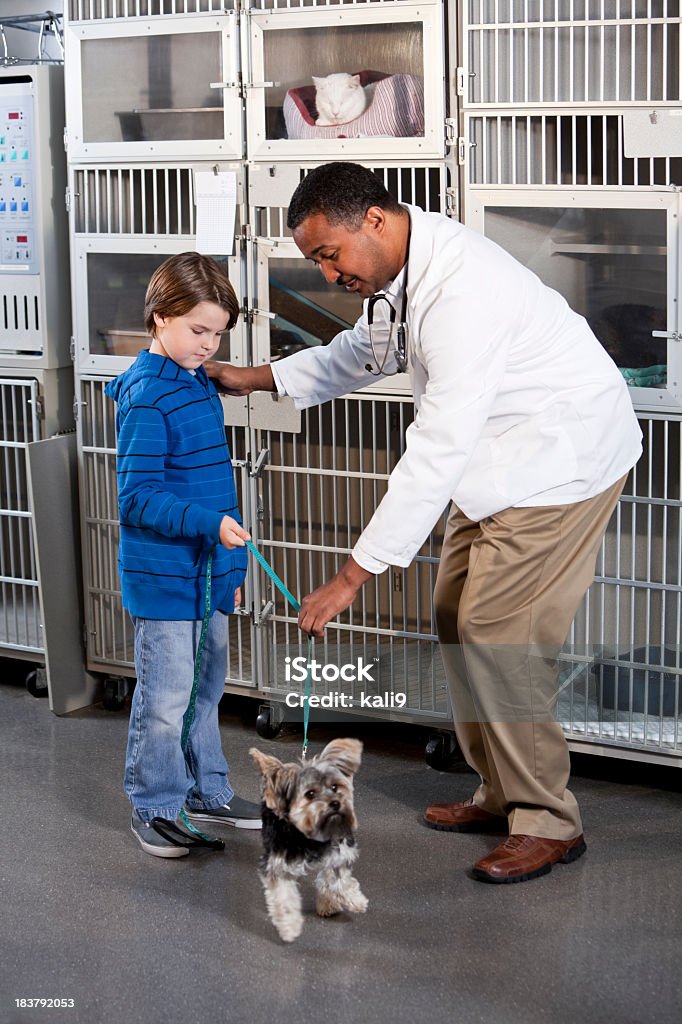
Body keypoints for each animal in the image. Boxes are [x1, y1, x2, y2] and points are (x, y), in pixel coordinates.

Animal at [249, 737, 366, 942]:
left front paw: (355, 900)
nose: (336, 803)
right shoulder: (278, 865)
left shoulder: (338, 852)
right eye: (310, 794)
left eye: (335, 787)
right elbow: (284, 897)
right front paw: (289, 928)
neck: (310, 839)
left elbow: (340, 879)